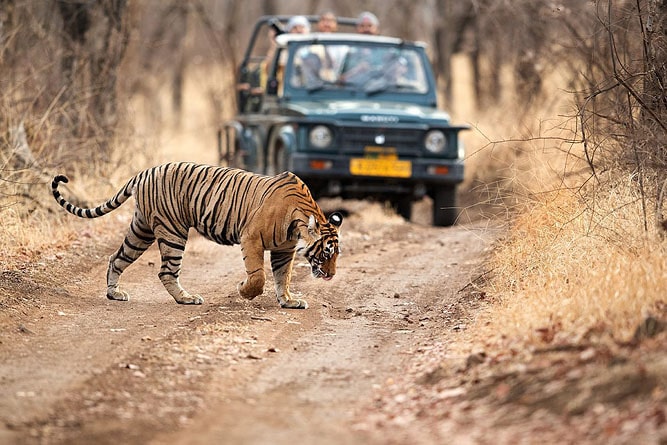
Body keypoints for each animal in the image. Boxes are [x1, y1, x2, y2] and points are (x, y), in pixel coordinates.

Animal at [51, 162, 343, 309]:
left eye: (336, 255)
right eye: (326, 252)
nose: (331, 275)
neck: (299, 221)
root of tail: (144, 172)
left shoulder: (284, 249)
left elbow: (284, 276)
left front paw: (289, 301)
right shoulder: (251, 238)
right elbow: (258, 276)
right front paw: (244, 290)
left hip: (141, 230)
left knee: (116, 258)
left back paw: (114, 293)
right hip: (173, 231)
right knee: (166, 271)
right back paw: (186, 298)